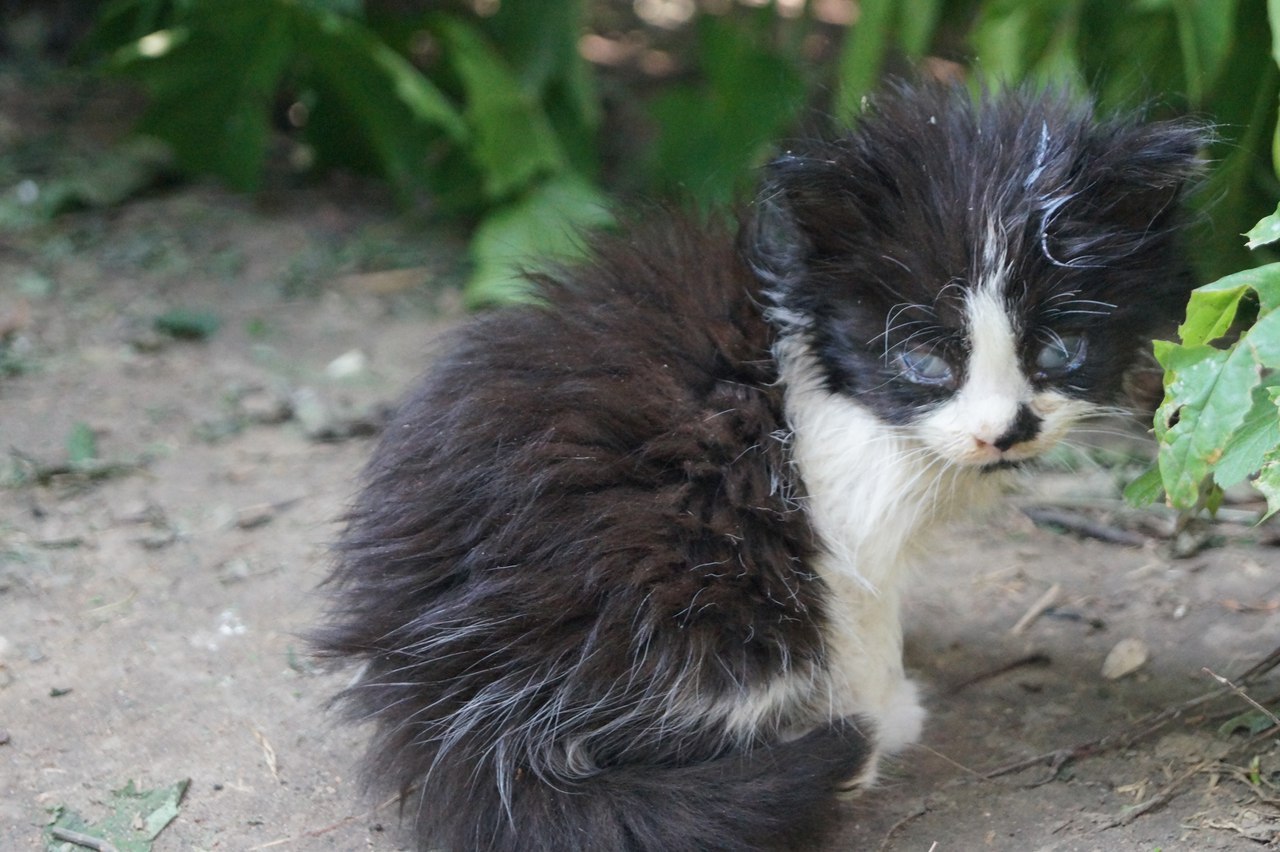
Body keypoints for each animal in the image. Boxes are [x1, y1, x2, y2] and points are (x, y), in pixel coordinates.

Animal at [314, 81, 1203, 849]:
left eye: (1060, 350)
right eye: (922, 359)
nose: (1004, 433)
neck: (816, 361)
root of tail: (445, 713)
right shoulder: (833, 508)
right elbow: (862, 617)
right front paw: (888, 710)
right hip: (703, 576)